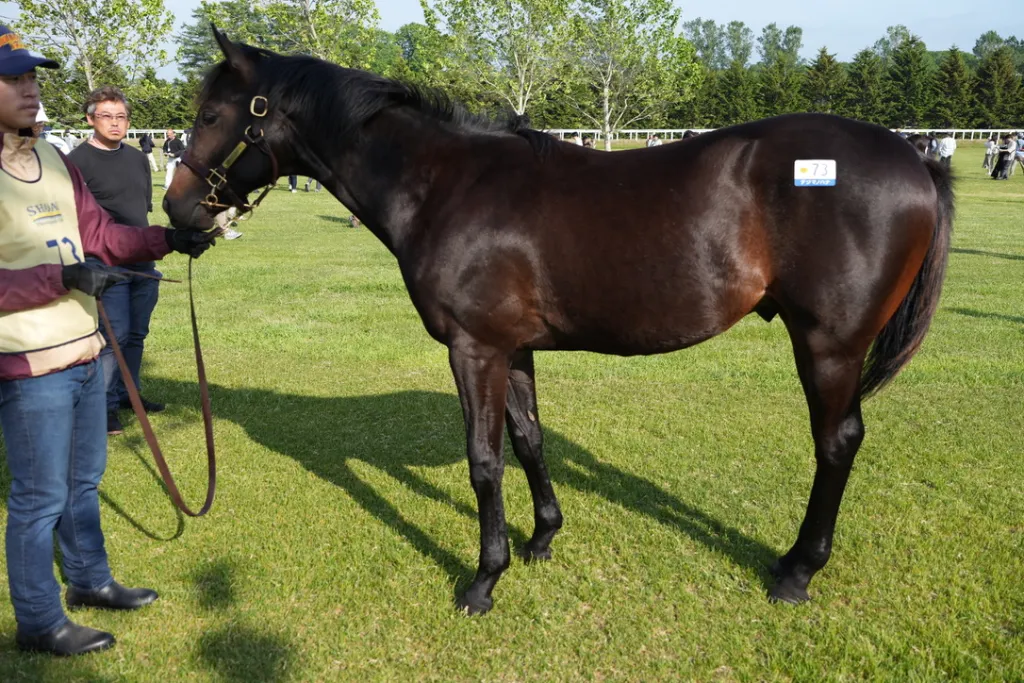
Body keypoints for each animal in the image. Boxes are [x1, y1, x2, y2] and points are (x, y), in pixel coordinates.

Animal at [164, 28, 954, 615]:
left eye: (211, 117)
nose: (177, 212)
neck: (446, 185)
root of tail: (912, 158)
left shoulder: (472, 349)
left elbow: (484, 461)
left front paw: (484, 578)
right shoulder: (512, 349)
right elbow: (528, 440)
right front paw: (542, 538)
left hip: (828, 344)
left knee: (837, 442)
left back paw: (796, 570)